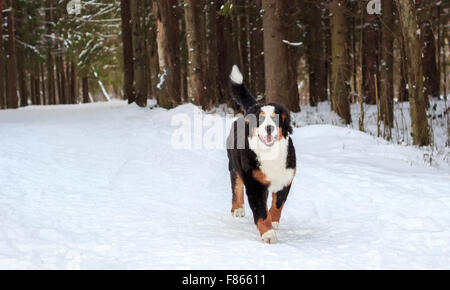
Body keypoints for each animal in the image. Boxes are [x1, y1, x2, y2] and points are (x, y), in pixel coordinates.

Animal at [225, 65, 296, 242]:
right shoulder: (254, 182)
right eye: (261, 120)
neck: (270, 153)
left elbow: (277, 205)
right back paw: (237, 208)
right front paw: (268, 234)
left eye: (276, 119)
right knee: (236, 185)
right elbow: (260, 210)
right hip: (234, 165)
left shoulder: (286, 179)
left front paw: (273, 221)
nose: (269, 128)